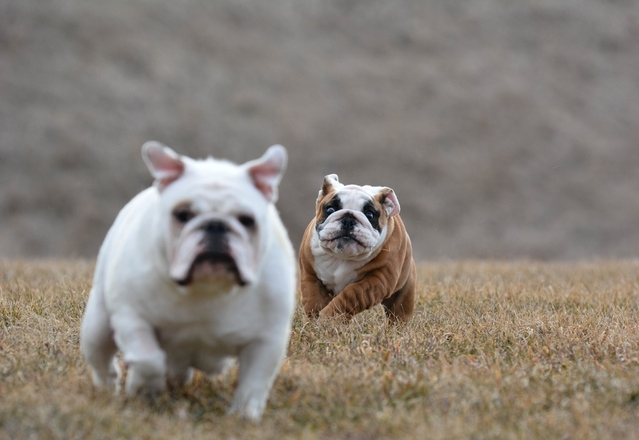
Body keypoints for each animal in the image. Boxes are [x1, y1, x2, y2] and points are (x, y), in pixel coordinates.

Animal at [80, 142, 298, 420]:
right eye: (183, 215)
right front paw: (143, 388)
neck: (207, 288)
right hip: (97, 326)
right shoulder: (132, 317)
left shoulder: (267, 341)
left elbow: (253, 384)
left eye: (247, 220)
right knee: (102, 359)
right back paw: (108, 388)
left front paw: (243, 418)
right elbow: (148, 359)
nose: (215, 225)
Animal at [298, 174, 418, 324]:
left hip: (403, 295)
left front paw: (328, 317)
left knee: (398, 312)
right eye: (330, 209)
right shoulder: (309, 274)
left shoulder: (379, 281)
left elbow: (351, 294)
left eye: (370, 214)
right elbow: (313, 298)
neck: (342, 257)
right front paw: (314, 321)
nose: (348, 220)